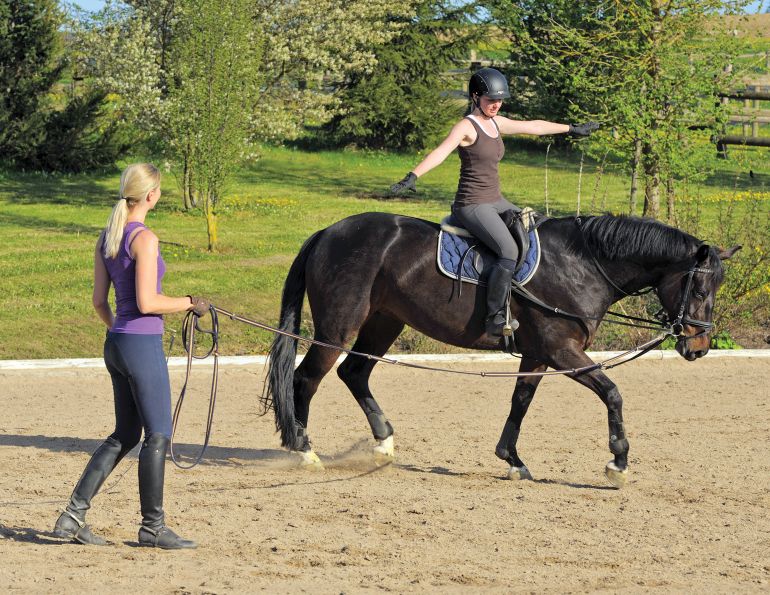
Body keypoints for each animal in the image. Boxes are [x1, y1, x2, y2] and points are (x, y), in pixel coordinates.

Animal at [264, 211, 739, 486]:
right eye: (699, 288)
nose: (700, 346)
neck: (582, 264)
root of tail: (328, 231)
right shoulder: (562, 351)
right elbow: (612, 392)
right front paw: (618, 462)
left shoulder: (538, 354)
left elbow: (521, 402)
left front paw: (511, 459)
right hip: (338, 326)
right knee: (306, 379)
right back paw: (304, 450)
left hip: (385, 321)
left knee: (354, 374)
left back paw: (383, 441)